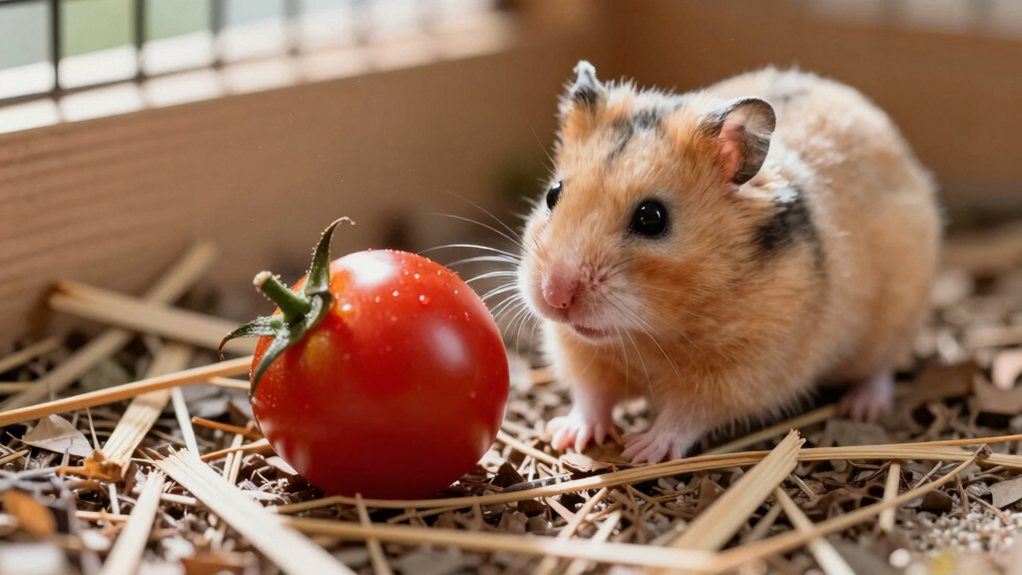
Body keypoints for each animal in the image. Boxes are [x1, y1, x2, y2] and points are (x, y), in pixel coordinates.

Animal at [518, 61, 940, 463]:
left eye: (652, 218)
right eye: (553, 194)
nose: (555, 296)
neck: (646, 335)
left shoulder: (743, 371)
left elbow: (687, 413)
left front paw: (642, 450)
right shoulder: (581, 352)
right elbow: (592, 396)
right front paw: (565, 435)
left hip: (893, 322)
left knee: (881, 369)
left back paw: (862, 407)